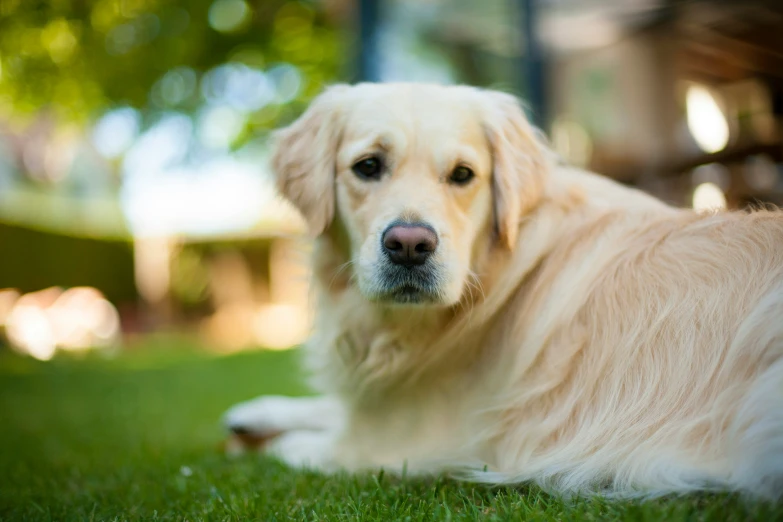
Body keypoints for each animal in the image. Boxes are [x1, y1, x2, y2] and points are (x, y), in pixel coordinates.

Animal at [222, 83, 783, 498]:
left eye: (462, 175)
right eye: (367, 166)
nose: (409, 245)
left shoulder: (397, 444)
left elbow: (300, 444)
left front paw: (259, 440)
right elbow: (326, 405)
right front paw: (254, 414)